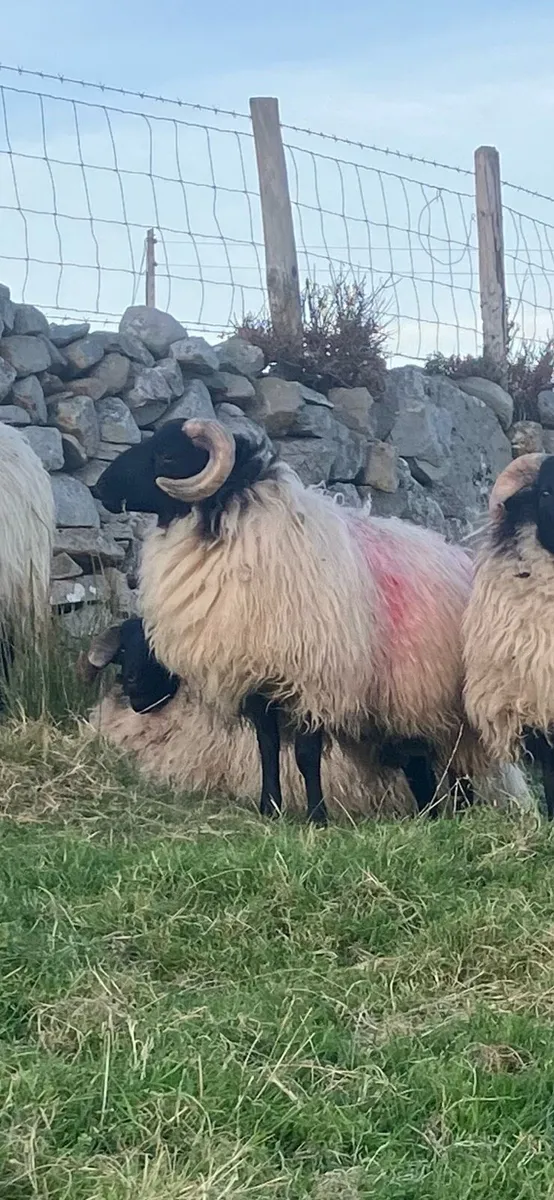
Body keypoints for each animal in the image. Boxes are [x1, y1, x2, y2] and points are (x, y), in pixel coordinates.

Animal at [92, 417, 496, 825]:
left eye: (167, 455)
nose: (99, 488)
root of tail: (459, 555)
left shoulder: (311, 680)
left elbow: (306, 755)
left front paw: (317, 817)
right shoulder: (257, 677)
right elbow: (267, 749)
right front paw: (269, 809)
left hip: (444, 711)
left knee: (455, 767)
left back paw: (458, 814)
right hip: (401, 714)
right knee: (419, 766)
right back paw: (430, 814)